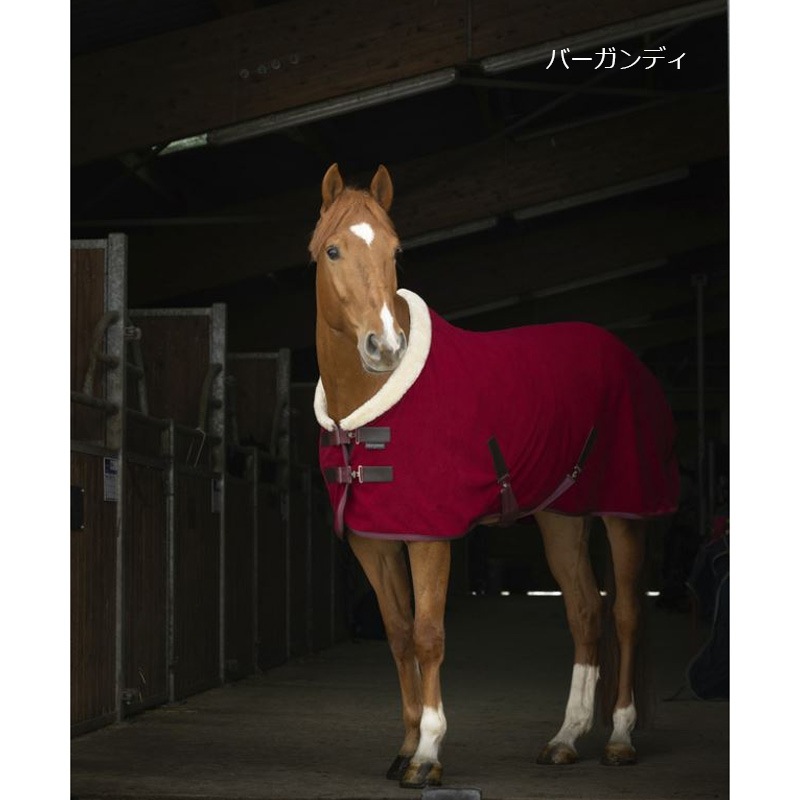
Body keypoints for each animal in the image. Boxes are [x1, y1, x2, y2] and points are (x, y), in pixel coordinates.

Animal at [309, 163, 679, 788]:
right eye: (333, 250)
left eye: (394, 250)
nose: (385, 347)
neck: (365, 412)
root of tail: (626, 357)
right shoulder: (373, 543)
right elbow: (399, 633)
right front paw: (405, 747)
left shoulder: (430, 537)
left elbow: (428, 635)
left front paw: (428, 754)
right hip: (561, 516)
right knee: (584, 611)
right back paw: (565, 739)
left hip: (624, 513)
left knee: (626, 614)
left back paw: (620, 739)